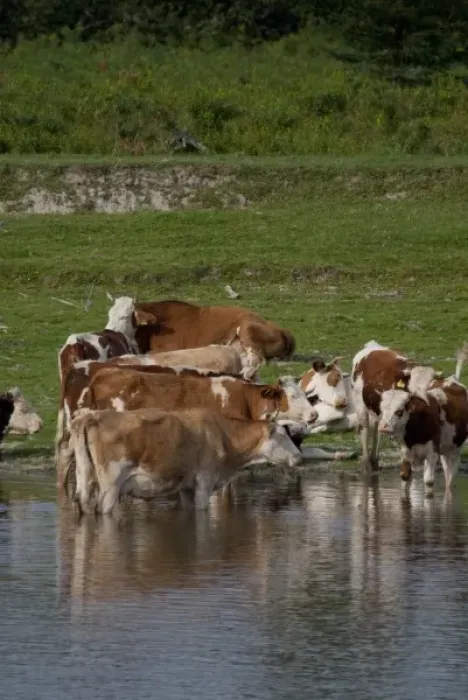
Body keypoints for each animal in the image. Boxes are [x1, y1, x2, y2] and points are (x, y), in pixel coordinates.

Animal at [67, 407, 303, 515]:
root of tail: (92, 416)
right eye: (283, 434)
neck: (222, 434)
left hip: (84, 476)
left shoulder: (187, 487)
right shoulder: (204, 483)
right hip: (110, 485)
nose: (299, 457)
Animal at [351, 340, 442, 471]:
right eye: (412, 383)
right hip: (360, 403)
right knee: (365, 429)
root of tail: (372, 346)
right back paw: (367, 464)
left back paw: (374, 460)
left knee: (378, 431)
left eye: (431, 384)